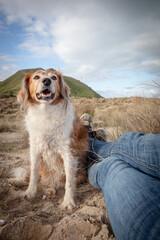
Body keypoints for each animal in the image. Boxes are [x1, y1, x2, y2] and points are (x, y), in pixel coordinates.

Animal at [11, 68, 89, 209]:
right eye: (36, 77)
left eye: (54, 77)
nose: (47, 81)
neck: (46, 112)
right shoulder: (35, 150)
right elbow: (33, 174)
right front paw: (30, 192)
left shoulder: (68, 153)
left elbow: (69, 181)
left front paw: (68, 201)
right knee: (31, 177)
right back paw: (16, 182)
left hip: (80, 174)